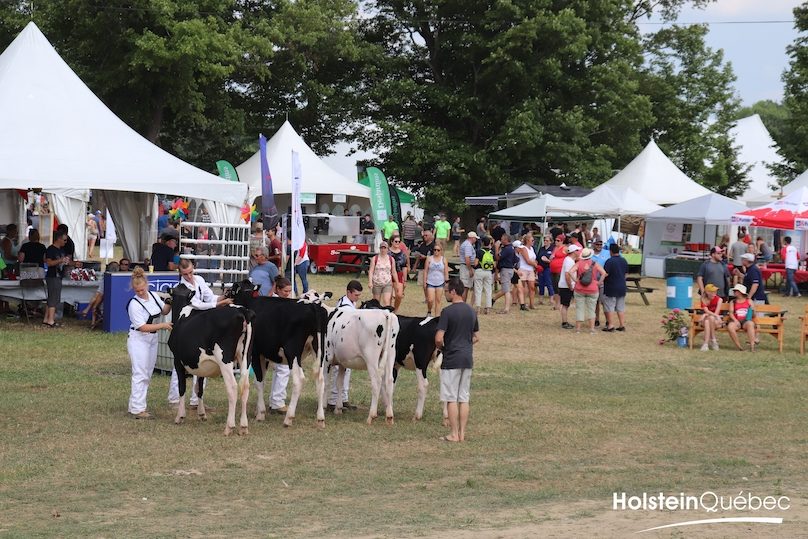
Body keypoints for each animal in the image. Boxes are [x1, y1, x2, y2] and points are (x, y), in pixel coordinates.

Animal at [165, 284, 251, 436]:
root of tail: (241, 310)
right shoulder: (201, 365)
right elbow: (199, 388)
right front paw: (202, 414)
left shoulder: (177, 360)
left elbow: (182, 388)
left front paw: (180, 417)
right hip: (245, 357)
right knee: (245, 386)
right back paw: (243, 427)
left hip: (224, 359)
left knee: (233, 387)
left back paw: (229, 427)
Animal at [227, 282, 332, 430]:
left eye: (232, 290)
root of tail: (312, 305)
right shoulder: (263, 355)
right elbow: (262, 379)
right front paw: (259, 410)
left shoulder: (255, 353)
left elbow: (259, 382)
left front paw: (260, 413)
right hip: (319, 350)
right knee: (320, 379)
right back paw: (320, 418)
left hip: (292, 351)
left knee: (299, 379)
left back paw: (289, 418)